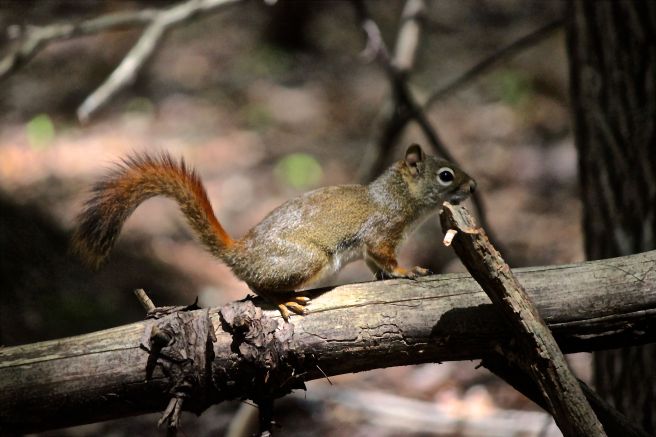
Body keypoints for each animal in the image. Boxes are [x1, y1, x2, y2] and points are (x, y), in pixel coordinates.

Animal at [73, 144, 476, 320]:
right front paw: (408, 271)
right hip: (308, 259)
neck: (400, 196)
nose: (472, 186)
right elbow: (387, 257)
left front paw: (385, 276)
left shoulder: (371, 247)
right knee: (257, 286)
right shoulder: (382, 231)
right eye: (446, 175)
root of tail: (238, 253)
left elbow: (375, 265)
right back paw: (282, 300)